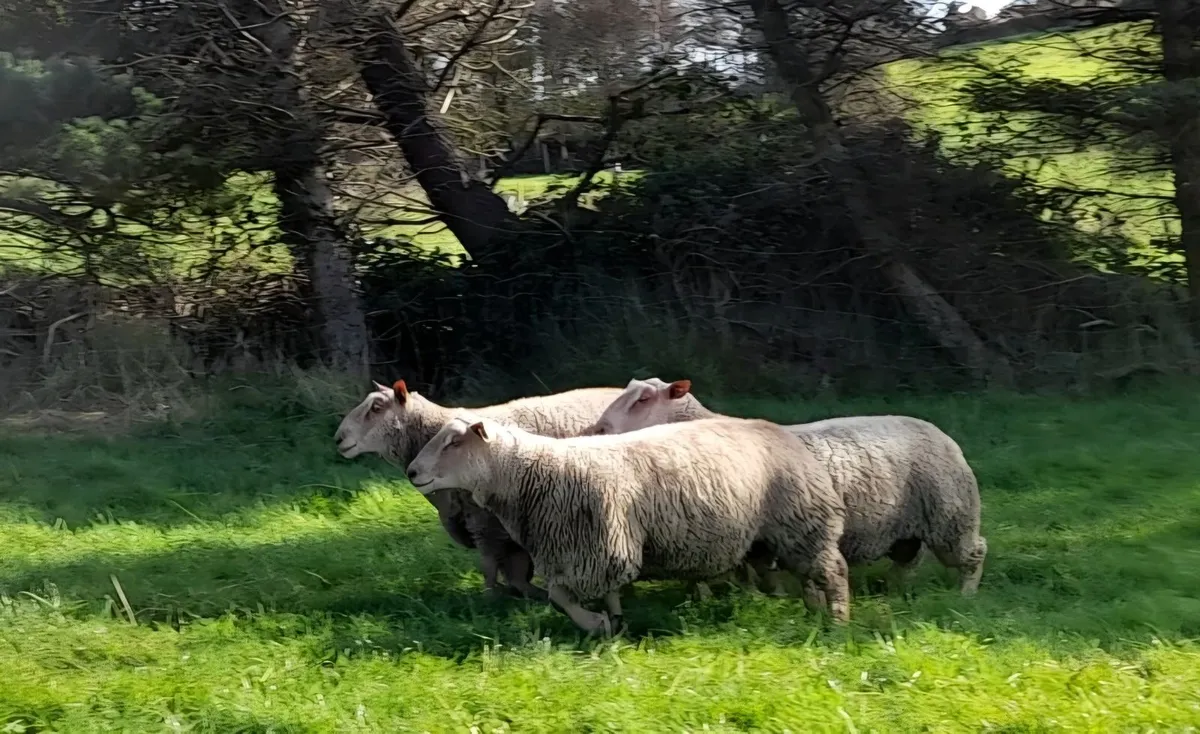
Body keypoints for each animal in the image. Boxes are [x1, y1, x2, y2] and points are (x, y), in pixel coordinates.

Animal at [335, 379, 626, 601]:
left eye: (376, 407)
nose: (338, 439)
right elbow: (510, 568)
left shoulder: (487, 521)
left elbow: (491, 564)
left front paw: (491, 599)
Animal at [404, 411, 851, 634]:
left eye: (454, 442)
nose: (411, 472)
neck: (535, 473)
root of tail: (787, 434)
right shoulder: (592, 547)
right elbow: (597, 592)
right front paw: (614, 620)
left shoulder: (598, 547)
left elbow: (560, 597)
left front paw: (597, 624)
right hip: (771, 537)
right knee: (799, 575)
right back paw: (807, 610)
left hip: (802, 523)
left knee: (834, 570)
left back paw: (838, 621)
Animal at [582, 377, 988, 599]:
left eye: (644, 400)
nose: (597, 429)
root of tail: (942, 434)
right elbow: (751, 571)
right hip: (907, 528)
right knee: (908, 559)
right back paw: (895, 592)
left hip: (952, 516)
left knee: (974, 553)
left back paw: (966, 595)